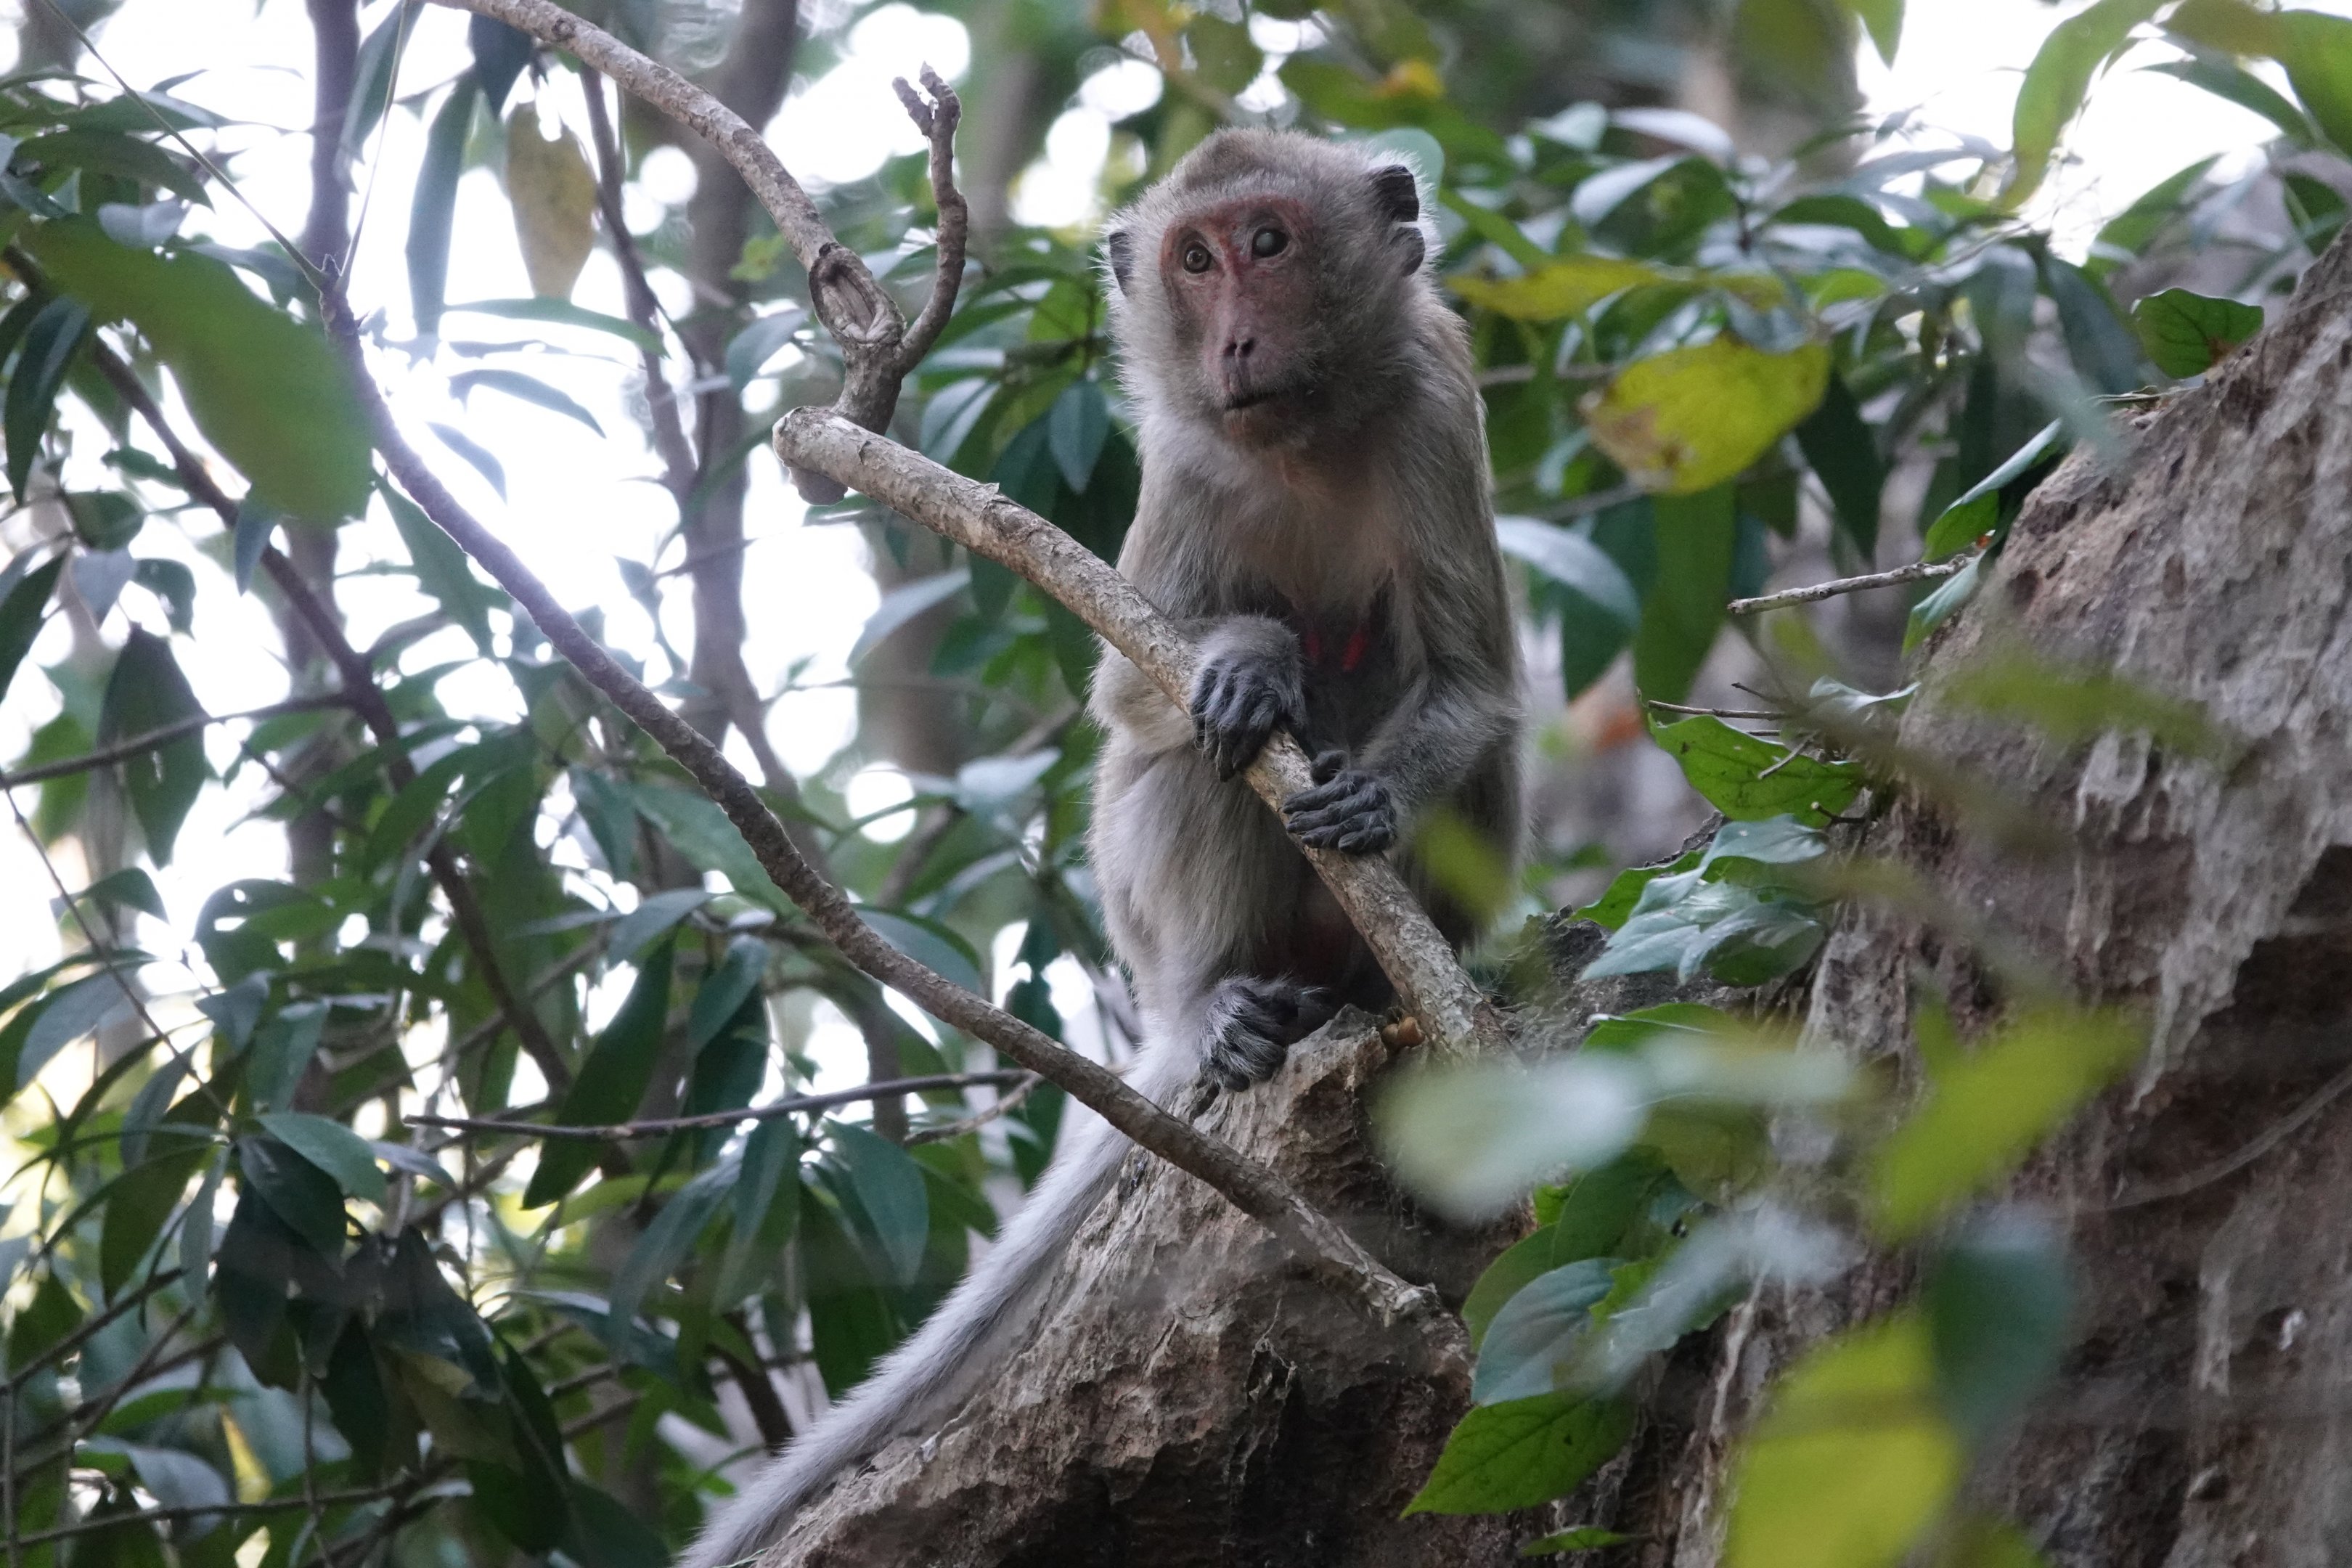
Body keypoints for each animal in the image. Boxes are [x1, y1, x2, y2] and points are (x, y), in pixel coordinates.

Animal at [681, 128, 1519, 1568]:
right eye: (1195, 259)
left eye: (1269, 244)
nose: (1235, 336)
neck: (1305, 442)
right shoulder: (1181, 463)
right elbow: (1133, 694)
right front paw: (1252, 660)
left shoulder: (1436, 410)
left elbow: (1476, 687)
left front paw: (1371, 802)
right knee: (1197, 766)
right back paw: (1223, 1004)